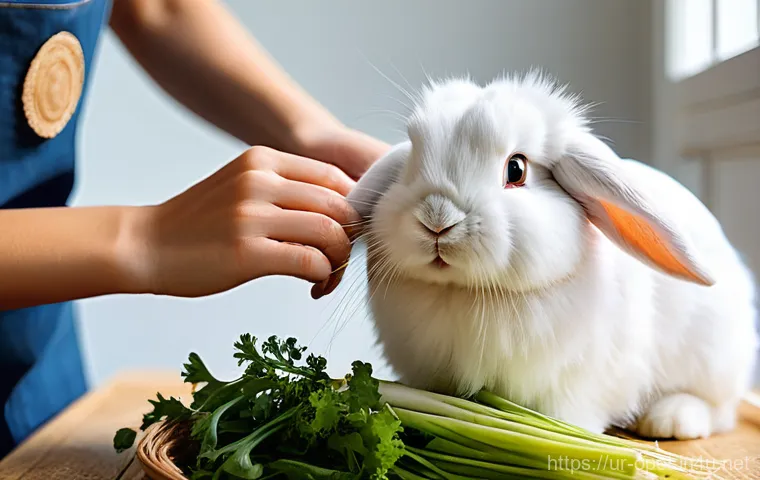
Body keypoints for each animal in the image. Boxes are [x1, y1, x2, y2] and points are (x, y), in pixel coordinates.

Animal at [337, 71, 759, 440]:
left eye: (516, 169)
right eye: (410, 163)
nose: (437, 219)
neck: (466, 294)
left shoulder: (573, 384)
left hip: (714, 359)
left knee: (719, 409)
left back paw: (671, 420)